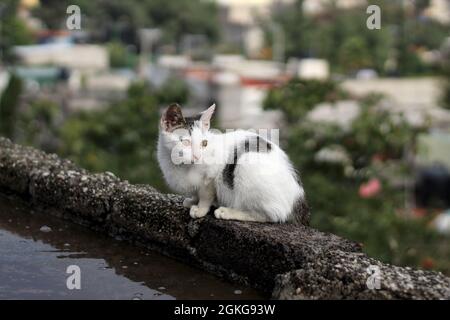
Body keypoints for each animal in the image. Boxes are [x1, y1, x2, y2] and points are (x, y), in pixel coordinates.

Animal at [156, 102, 308, 222]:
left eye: (204, 144)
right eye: (186, 142)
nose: (198, 157)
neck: (182, 166)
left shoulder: (211, 176)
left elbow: (206, 193)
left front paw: (200, 209)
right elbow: (196, 192)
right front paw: (192, 200)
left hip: (247, 165)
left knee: (269, 216)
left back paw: (228, 212)